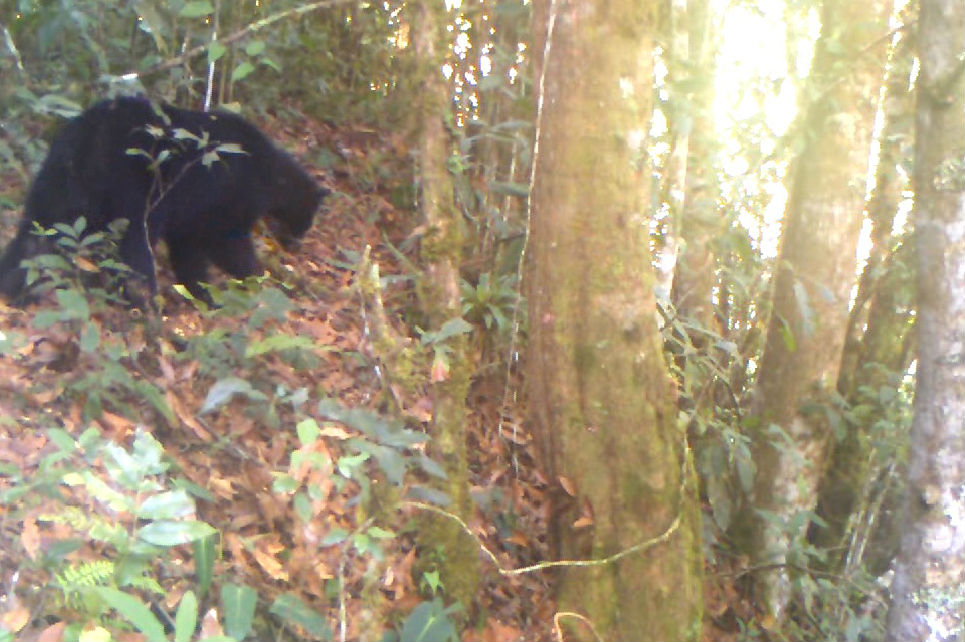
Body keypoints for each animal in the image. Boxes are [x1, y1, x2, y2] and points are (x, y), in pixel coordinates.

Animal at [0, 96, 327, 303]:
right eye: (309, 220)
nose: (297, 245)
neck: (271, 174)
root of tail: (89, 134)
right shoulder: (230, 198)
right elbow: (228, 245)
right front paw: (255, 278)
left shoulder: (195, 213)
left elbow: (189, 250)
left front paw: (201, 292)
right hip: (134, 188)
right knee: (136, 244)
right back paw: (142, 299)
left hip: (56, 181)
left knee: (35, 231)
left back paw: (14, 286)